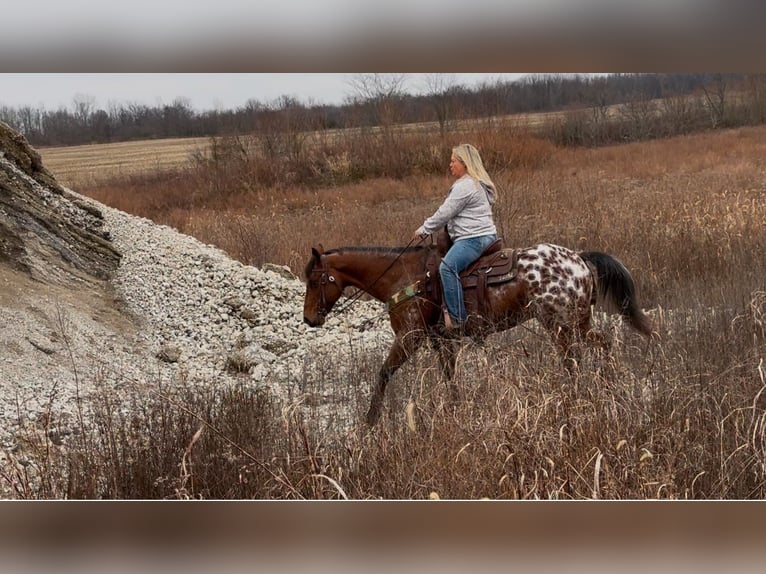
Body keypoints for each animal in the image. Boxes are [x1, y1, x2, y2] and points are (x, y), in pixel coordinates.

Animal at [304, 242, 652, 428]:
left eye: (315, 280)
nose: (309, 320)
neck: (403, 279)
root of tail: (579, 259)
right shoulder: (441, 340)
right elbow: (449, 377)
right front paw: (457, 410)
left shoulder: (409, 337)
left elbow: (384, 372)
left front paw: (370, 419)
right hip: (577, 323)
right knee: (600, 346)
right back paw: (607, 385)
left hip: (561, 325)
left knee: (573, 361)